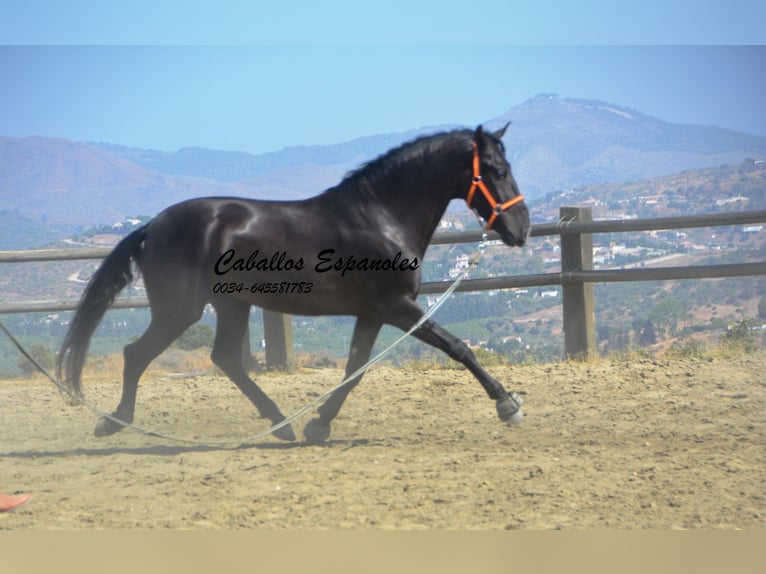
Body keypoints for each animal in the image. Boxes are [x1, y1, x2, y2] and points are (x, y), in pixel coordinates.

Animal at [58, 124, 528, 444]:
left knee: (224, 358)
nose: (520, 229)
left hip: (232, 304)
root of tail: (153, 226)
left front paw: (318, 425)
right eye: (496, 169)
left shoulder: (372, 313)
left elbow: (355, 369)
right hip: (181, 310)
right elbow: (458, 347)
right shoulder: (396, 306)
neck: (380, 216)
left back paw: (279, 424)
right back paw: (113, 421)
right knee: (136, 354)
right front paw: (507, 404)